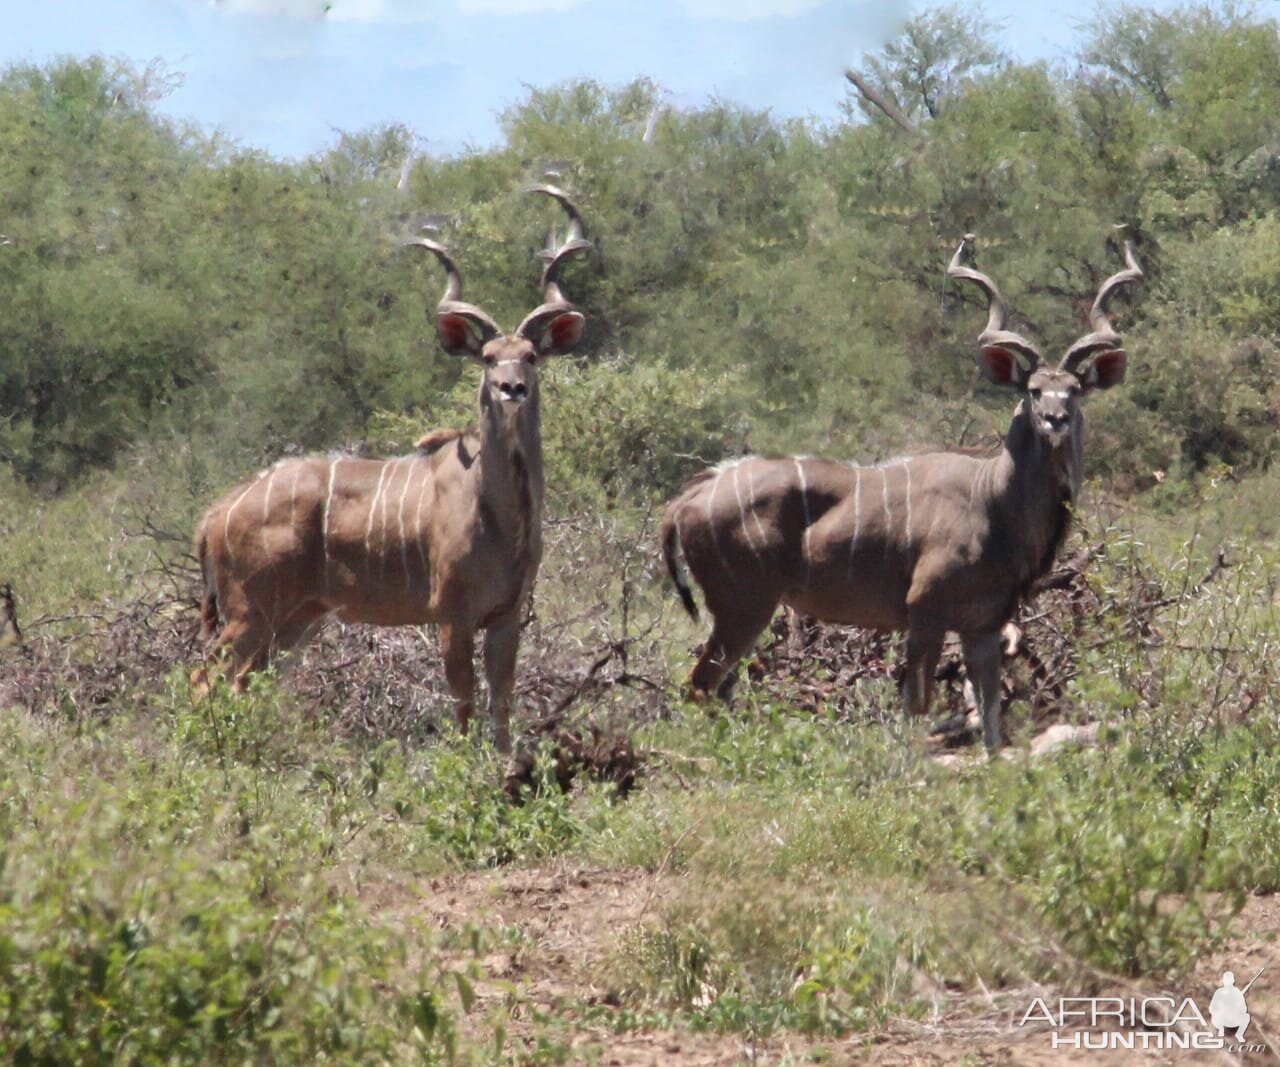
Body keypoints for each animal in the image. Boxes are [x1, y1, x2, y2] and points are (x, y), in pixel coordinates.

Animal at [192, 185, 591, 747]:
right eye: (489, 357)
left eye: (532, 355)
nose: (511, 388)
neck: (496, 510)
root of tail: (215, 516)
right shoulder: (451, 615)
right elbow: (464, 707)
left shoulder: (507, 617)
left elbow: (501, 706)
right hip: (250, 612)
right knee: (204, 677)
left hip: (296, 621)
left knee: (244, 684)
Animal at [660, 235, 1141, 747]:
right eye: (1033, 389)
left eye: (1074, 390)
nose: (1055, 419)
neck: (993, 500)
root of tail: (689, 499)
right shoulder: (925, 611)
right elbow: (918, 705)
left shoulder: (983, 624)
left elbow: (991, 714)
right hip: (743, 605)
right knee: (700, 685)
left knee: (716, 688)